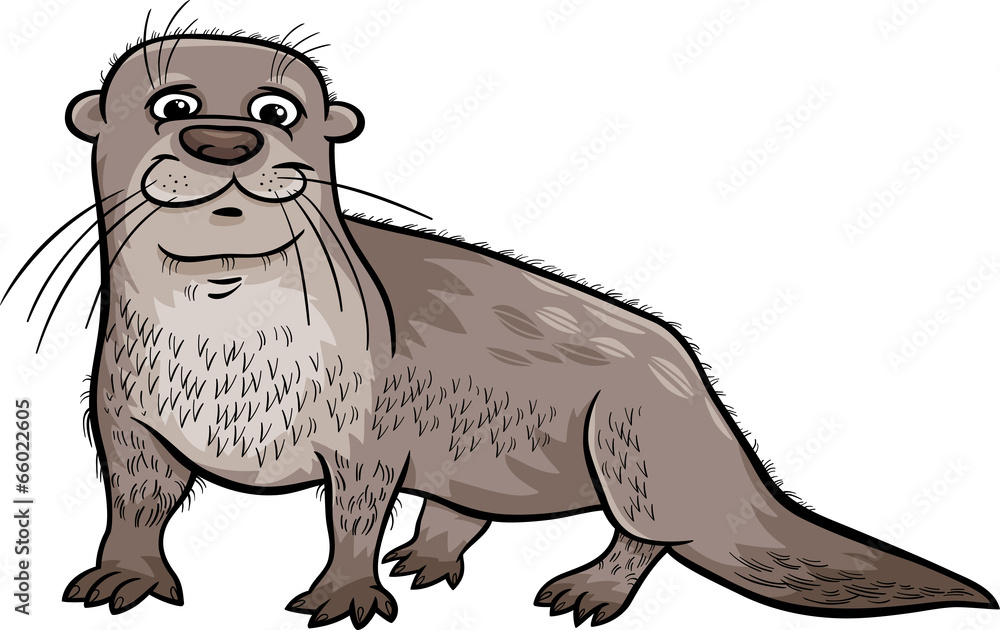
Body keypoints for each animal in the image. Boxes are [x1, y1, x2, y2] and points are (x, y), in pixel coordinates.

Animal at [29, 25, 993, 628]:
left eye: (277, 111)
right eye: (173, 105)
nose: (225, 142)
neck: (230, 352)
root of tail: (700, 391)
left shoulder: (368, 427)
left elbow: (354, 513)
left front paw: (345, 594)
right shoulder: (126, 413)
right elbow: (138, 497)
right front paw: (122, 575)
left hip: (635, 436)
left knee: (650, 533)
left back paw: (587, 592)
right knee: (465, 510)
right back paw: (427, 558)